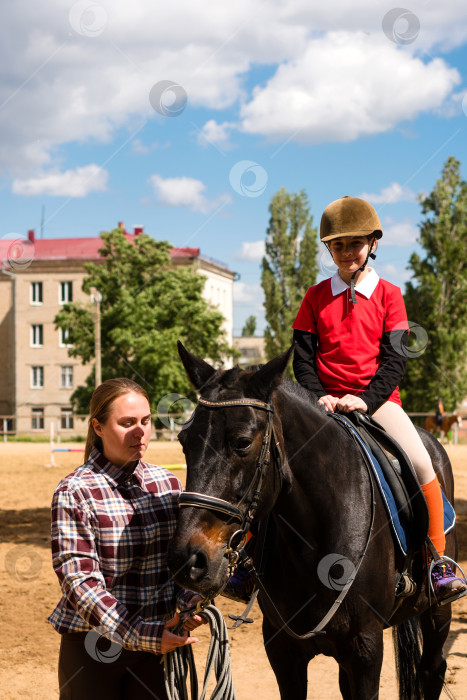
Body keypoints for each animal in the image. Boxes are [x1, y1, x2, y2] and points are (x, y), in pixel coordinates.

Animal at [166, 346, 458, 700]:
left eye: (243, 442)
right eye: (184, 441)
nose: (187, 559)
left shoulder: (366, 648)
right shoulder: (282, 648)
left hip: (437, 612)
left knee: (432, 668)